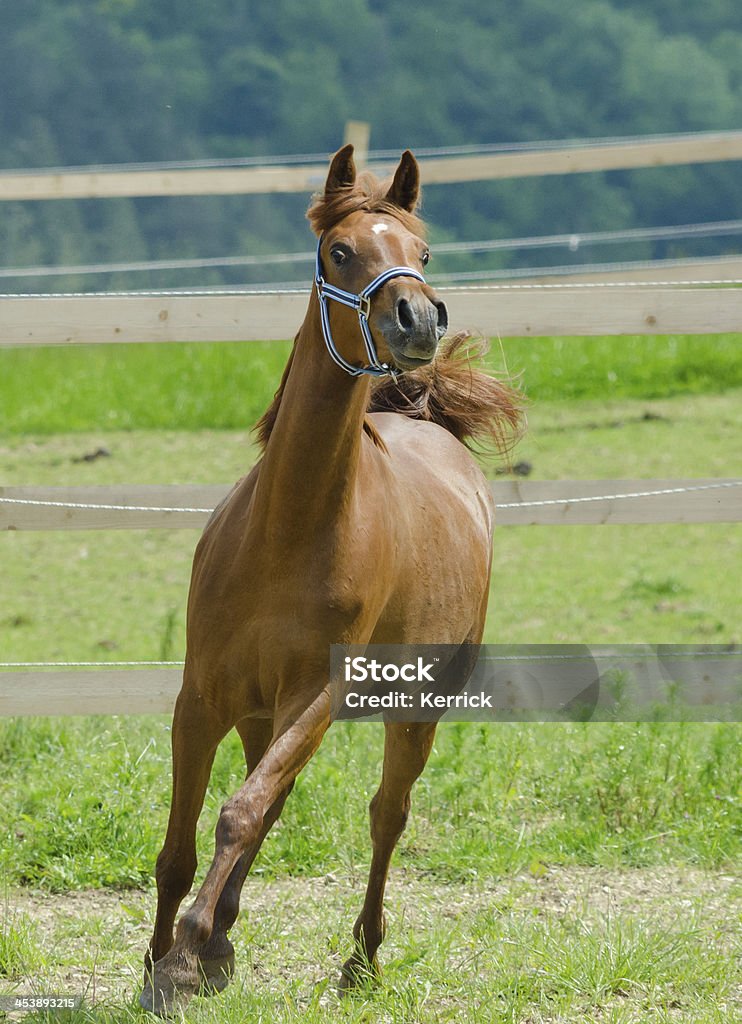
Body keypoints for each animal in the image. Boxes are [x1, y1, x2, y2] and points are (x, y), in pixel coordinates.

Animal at [139, 146, 521, 1015]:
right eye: (341, 252)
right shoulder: (202, 696)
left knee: (386, 815)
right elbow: (182, 843)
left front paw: (181, 963)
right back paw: (222, 943)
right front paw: (165, 958)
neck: (286, 533)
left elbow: (241, 812)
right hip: (257, 712)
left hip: (413, 709)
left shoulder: (315, 695)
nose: (418, 320)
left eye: (423, 252)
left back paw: (359, 961)